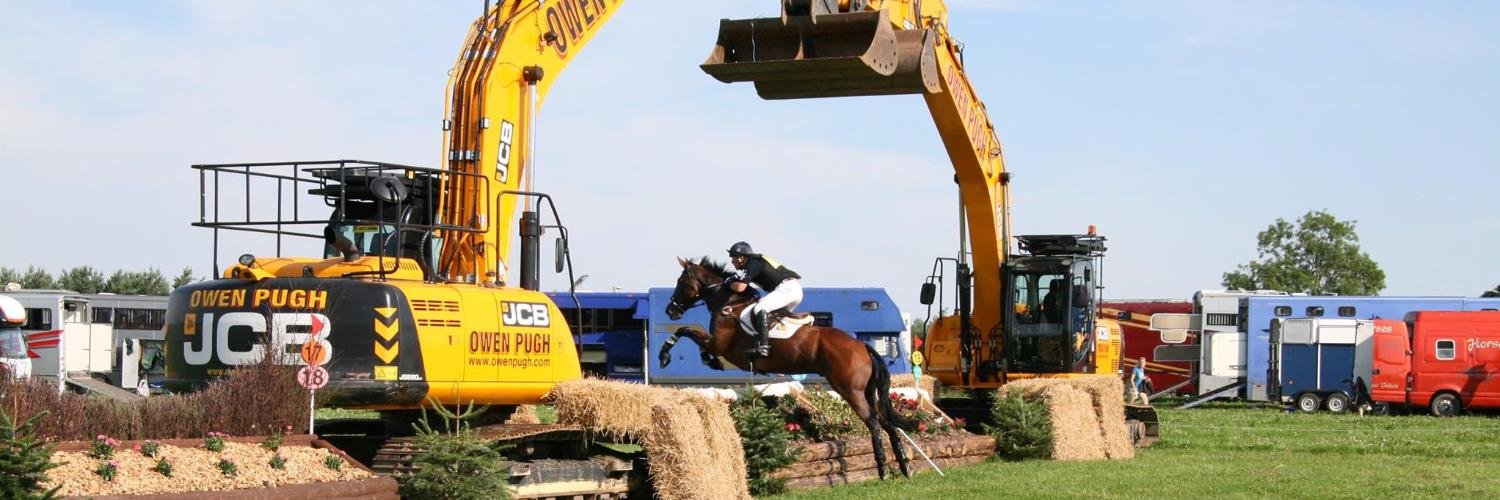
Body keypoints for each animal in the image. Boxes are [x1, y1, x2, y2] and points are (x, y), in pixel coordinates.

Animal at [659, 256, 914, 480]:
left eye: (681, 282)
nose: (671, 311)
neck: (729, 303)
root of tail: (861, 345)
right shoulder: (719, 346)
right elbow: (692, 336)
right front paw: (706, 360)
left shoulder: (719, 344)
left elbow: (686, 331)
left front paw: (665, 356)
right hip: (866, 391)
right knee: (886, 422)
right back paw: (904, 467)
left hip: (850, 390)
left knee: (873, 422)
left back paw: (882, 469)